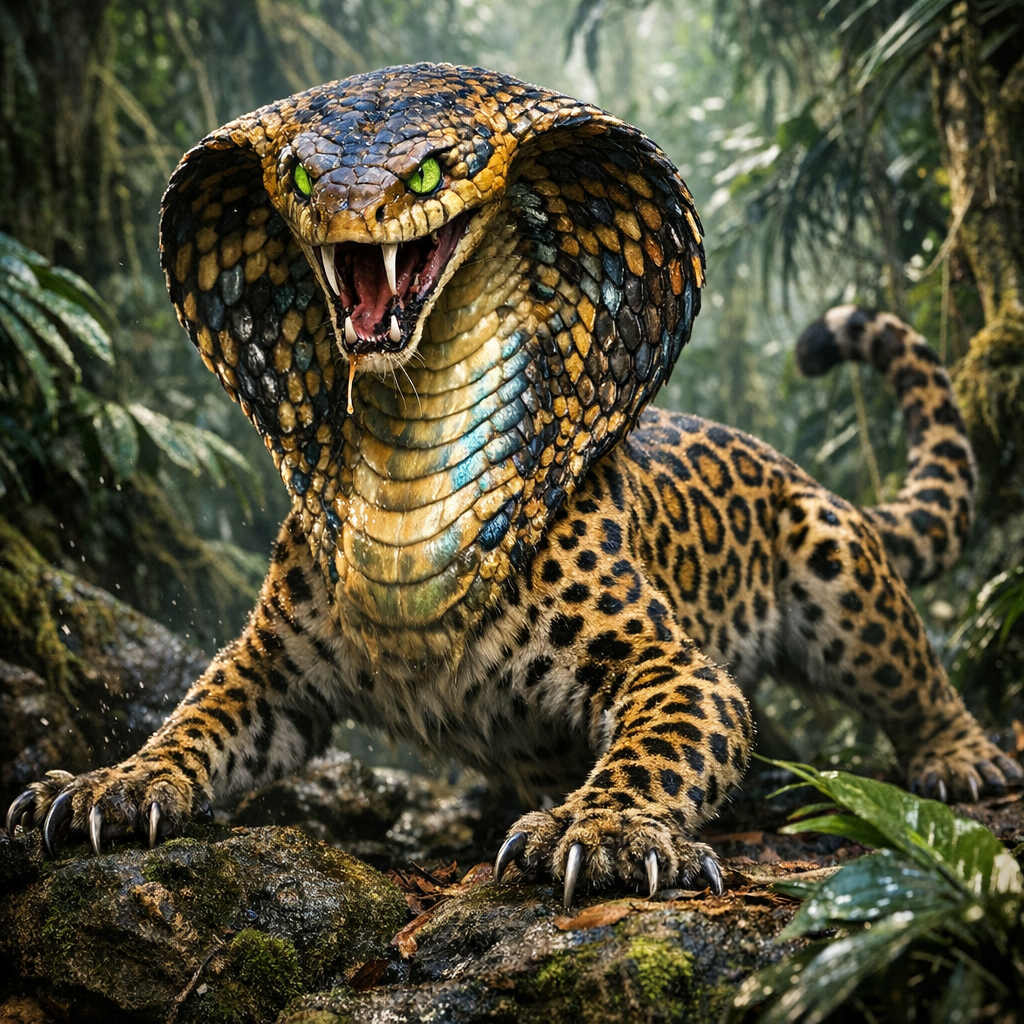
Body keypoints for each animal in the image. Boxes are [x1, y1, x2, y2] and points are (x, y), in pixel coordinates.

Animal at [7, 63, 1020, 909]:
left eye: (426, 173)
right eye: (295, 175)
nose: (343, 208)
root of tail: (792, 467)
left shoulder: (671, 664)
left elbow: (659, 748)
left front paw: (600, 829)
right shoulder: (269, 668)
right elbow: (194, 719)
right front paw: (109, 783)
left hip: (836, 560)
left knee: (912, 673)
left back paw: (964, 760)